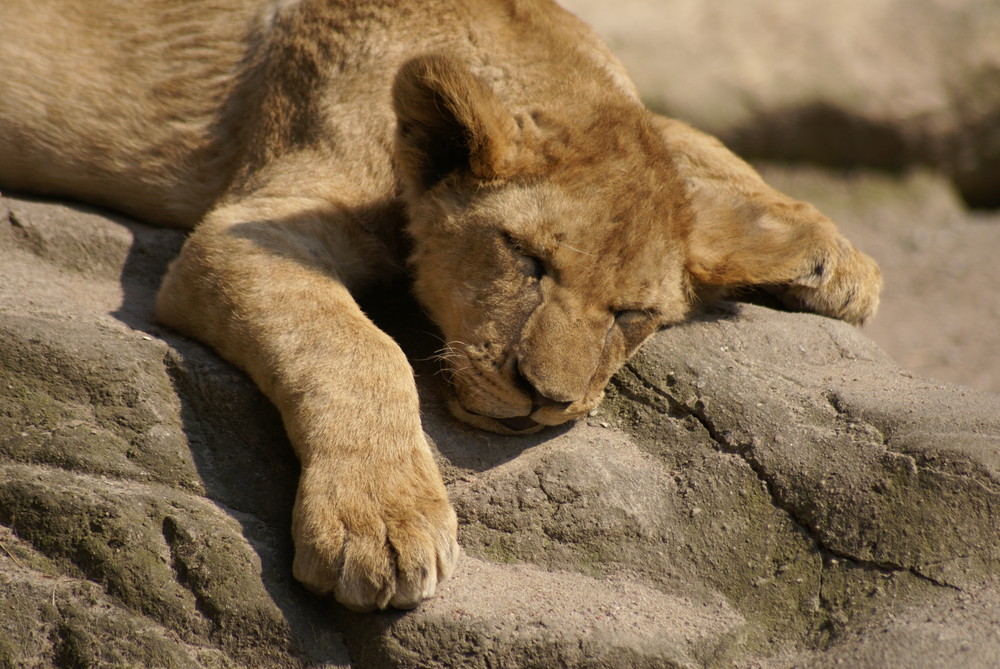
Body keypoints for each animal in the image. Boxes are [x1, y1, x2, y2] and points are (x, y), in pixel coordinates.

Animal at [0, 0, 880, 612]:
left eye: (633, 315)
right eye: (527, 258)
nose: (544, 399)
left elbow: (688, 135)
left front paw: (834, 257)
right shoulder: (249, 228)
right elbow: (357, 347)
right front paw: (381, 523)